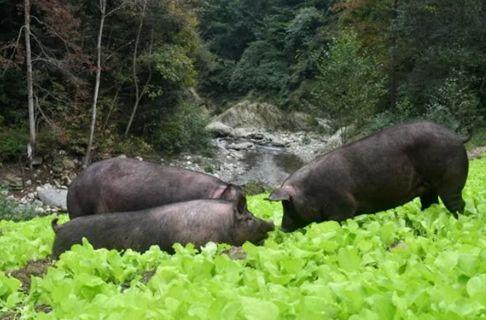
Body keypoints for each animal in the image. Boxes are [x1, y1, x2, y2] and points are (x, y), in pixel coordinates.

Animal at [268, 121, 468, 231]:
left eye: (287, 205)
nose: (282, 229)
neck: (310, 191)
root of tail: (457, 137)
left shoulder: (343, 208)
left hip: (450, 181)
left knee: (457, 204)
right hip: (428, 189)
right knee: (430, 205)